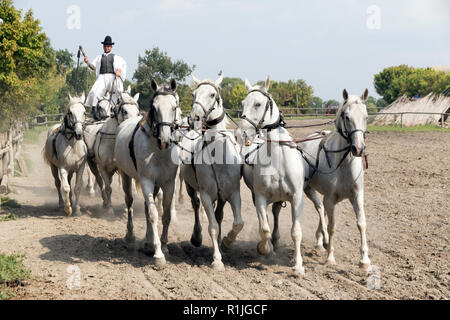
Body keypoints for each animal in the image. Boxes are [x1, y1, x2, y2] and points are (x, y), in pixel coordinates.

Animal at [115, 79, 182, 264]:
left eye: (174, 106)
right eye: (154, 107)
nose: (165, 140)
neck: (158, 151)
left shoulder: (168, 183)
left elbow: (165, 214)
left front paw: (164, 246)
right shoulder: (146, 181)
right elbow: (153, 214)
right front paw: (158, 254)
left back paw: (148, 241)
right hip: (126, 177)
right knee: (130, 203)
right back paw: (131, 236)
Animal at [178, 74, 243, 270]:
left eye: (213, 94)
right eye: (193, 94)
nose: (194, 118)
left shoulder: (233, 192)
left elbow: (238, 223)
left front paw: (226, 243)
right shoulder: (206, 193)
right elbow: (212, 225)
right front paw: (217, 260)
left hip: (221, 196)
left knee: (219, 215)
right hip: (191, 187)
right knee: (195, 205)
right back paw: (197, 237)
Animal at [239, 76, 310, 274]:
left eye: (257, 103)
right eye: (242, 103)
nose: (242, 132)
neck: (278, 158)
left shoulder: (296, 197)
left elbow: (296, 231)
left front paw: (298, 266)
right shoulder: (261, 197)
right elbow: (264, 229)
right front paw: (265, 248)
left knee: (277, 213)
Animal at [298, 89, 372, 270]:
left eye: (366, 116)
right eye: (346, 116)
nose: (358, 149)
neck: (344, 164)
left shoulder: (357, 196)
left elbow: (361, 223)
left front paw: (364, 260)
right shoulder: (330, 199)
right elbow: (332, 227)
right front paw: (330, 257)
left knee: (321, 209)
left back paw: (320, 240)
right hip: (308, 189)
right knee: (319, 208)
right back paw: (322, 240)